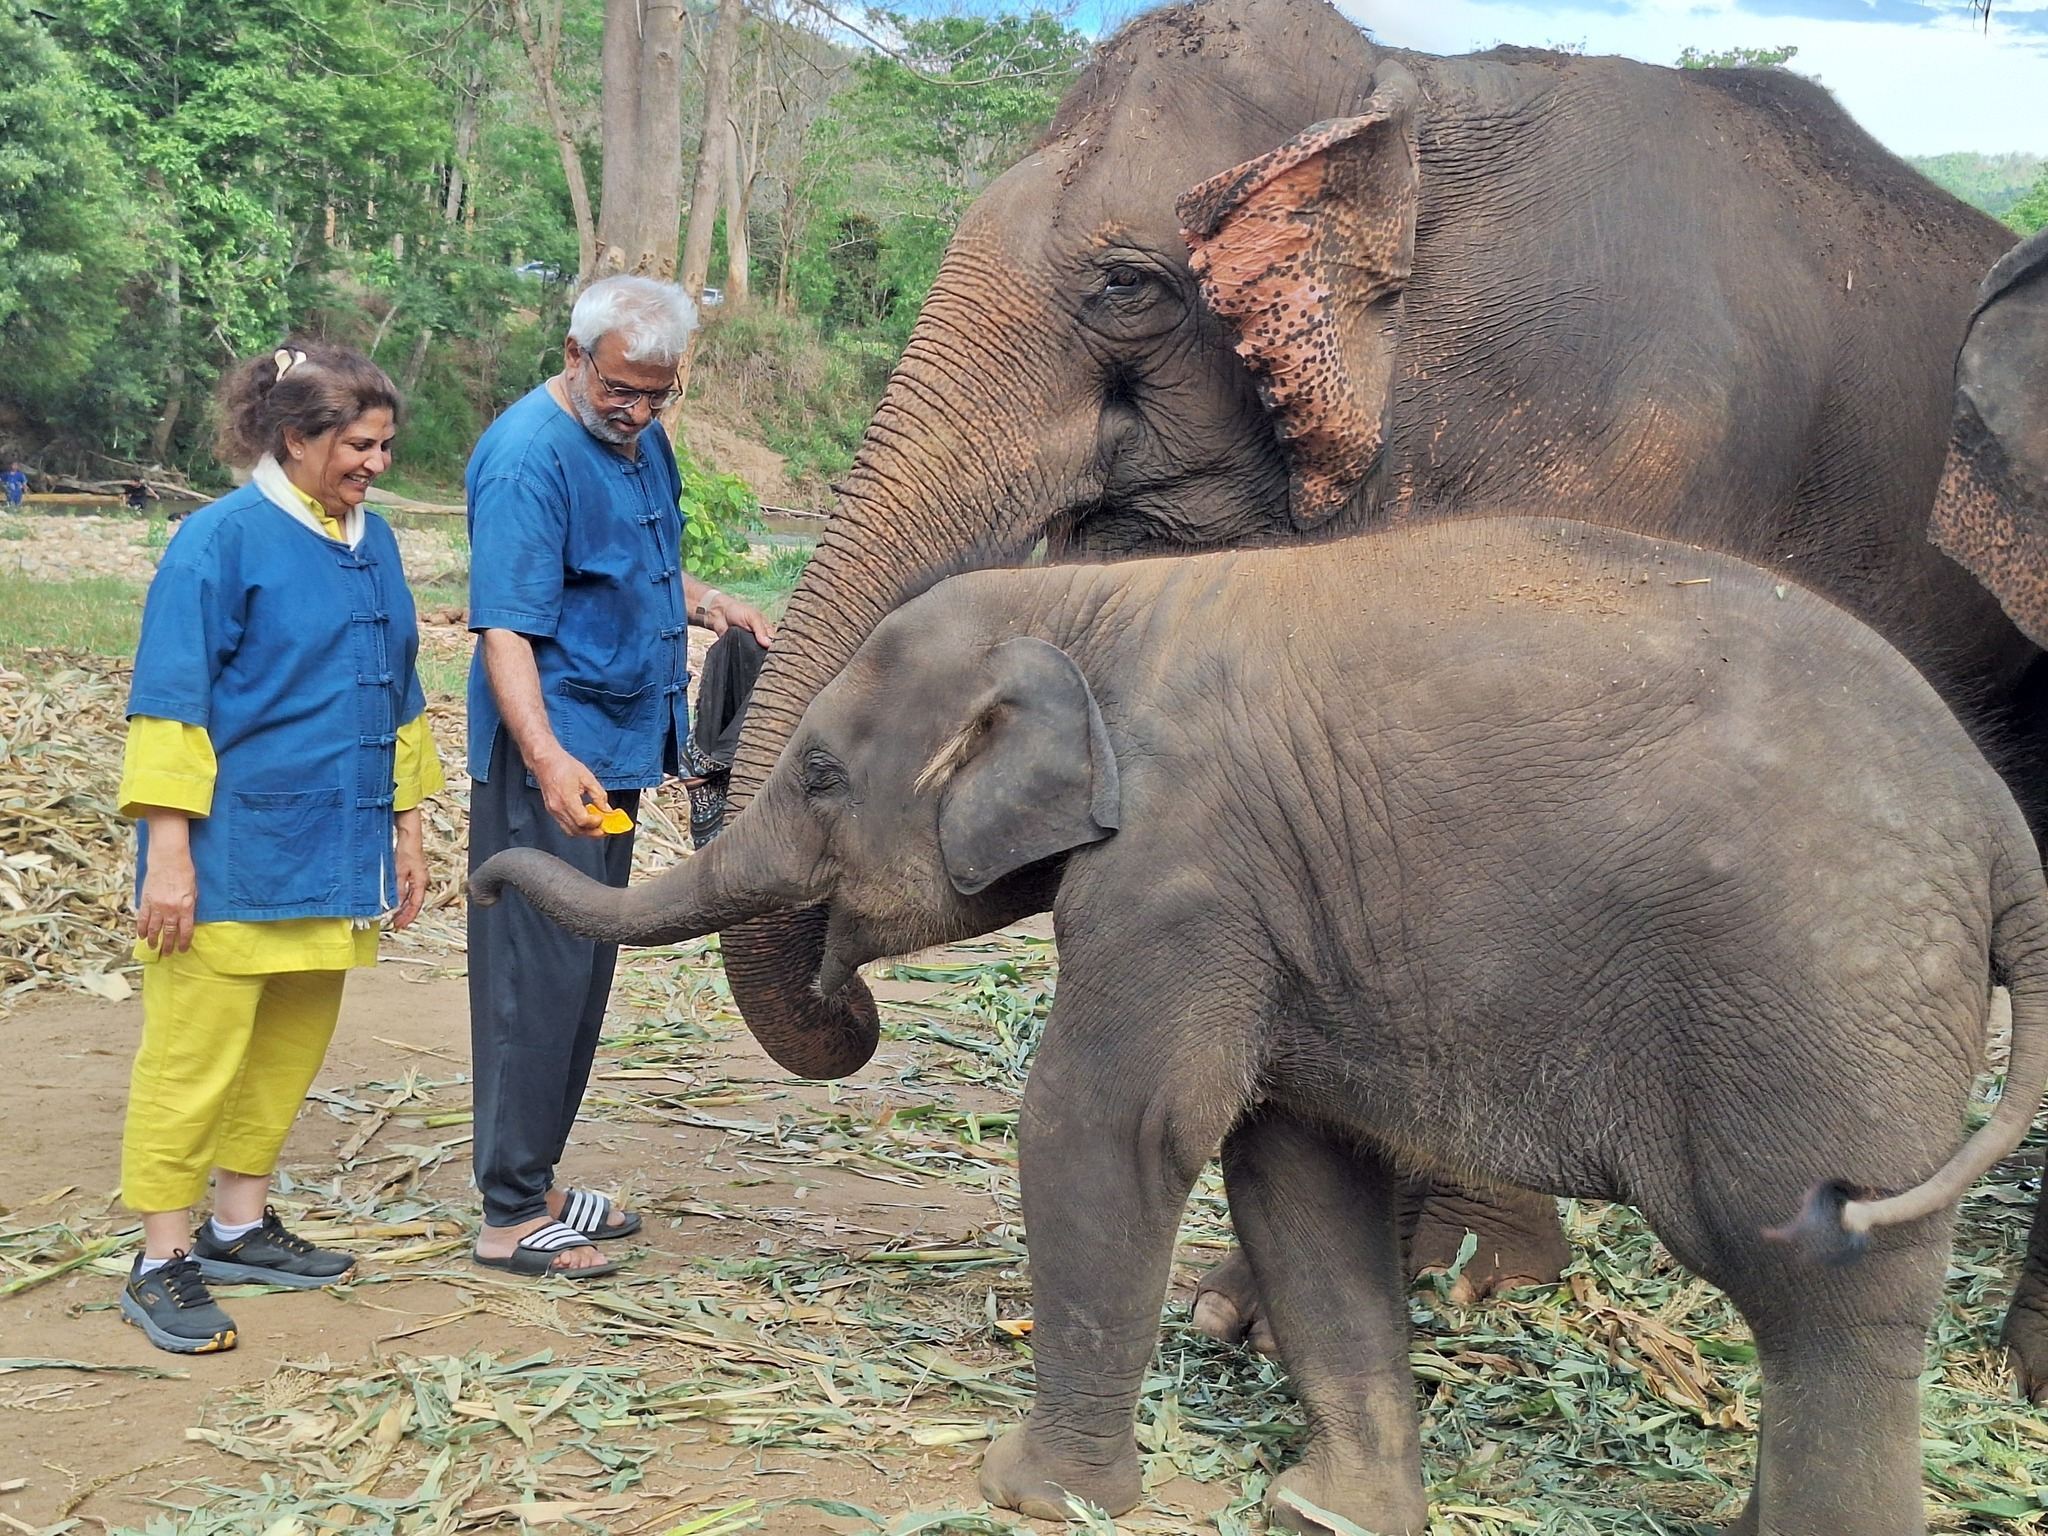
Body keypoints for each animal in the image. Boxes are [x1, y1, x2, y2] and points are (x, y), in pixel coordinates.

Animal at [475, 519, 2048, 1535]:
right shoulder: (1284, 911)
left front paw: (1029, 1493)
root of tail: (2005, 844)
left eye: (815, 774)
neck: (1097, 600)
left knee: (1829, 1298)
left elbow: (1114, 1124)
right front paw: (1325, 1513)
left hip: (1825, 1001)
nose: (504, 857)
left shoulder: (1185, 870)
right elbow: (1293, 1163)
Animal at [712, 0, 2048, 1384]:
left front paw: (1456, 1281)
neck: (1406, 102)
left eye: (1127, 288)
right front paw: (1256, 1304)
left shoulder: (1615, 449)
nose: (847, 994)